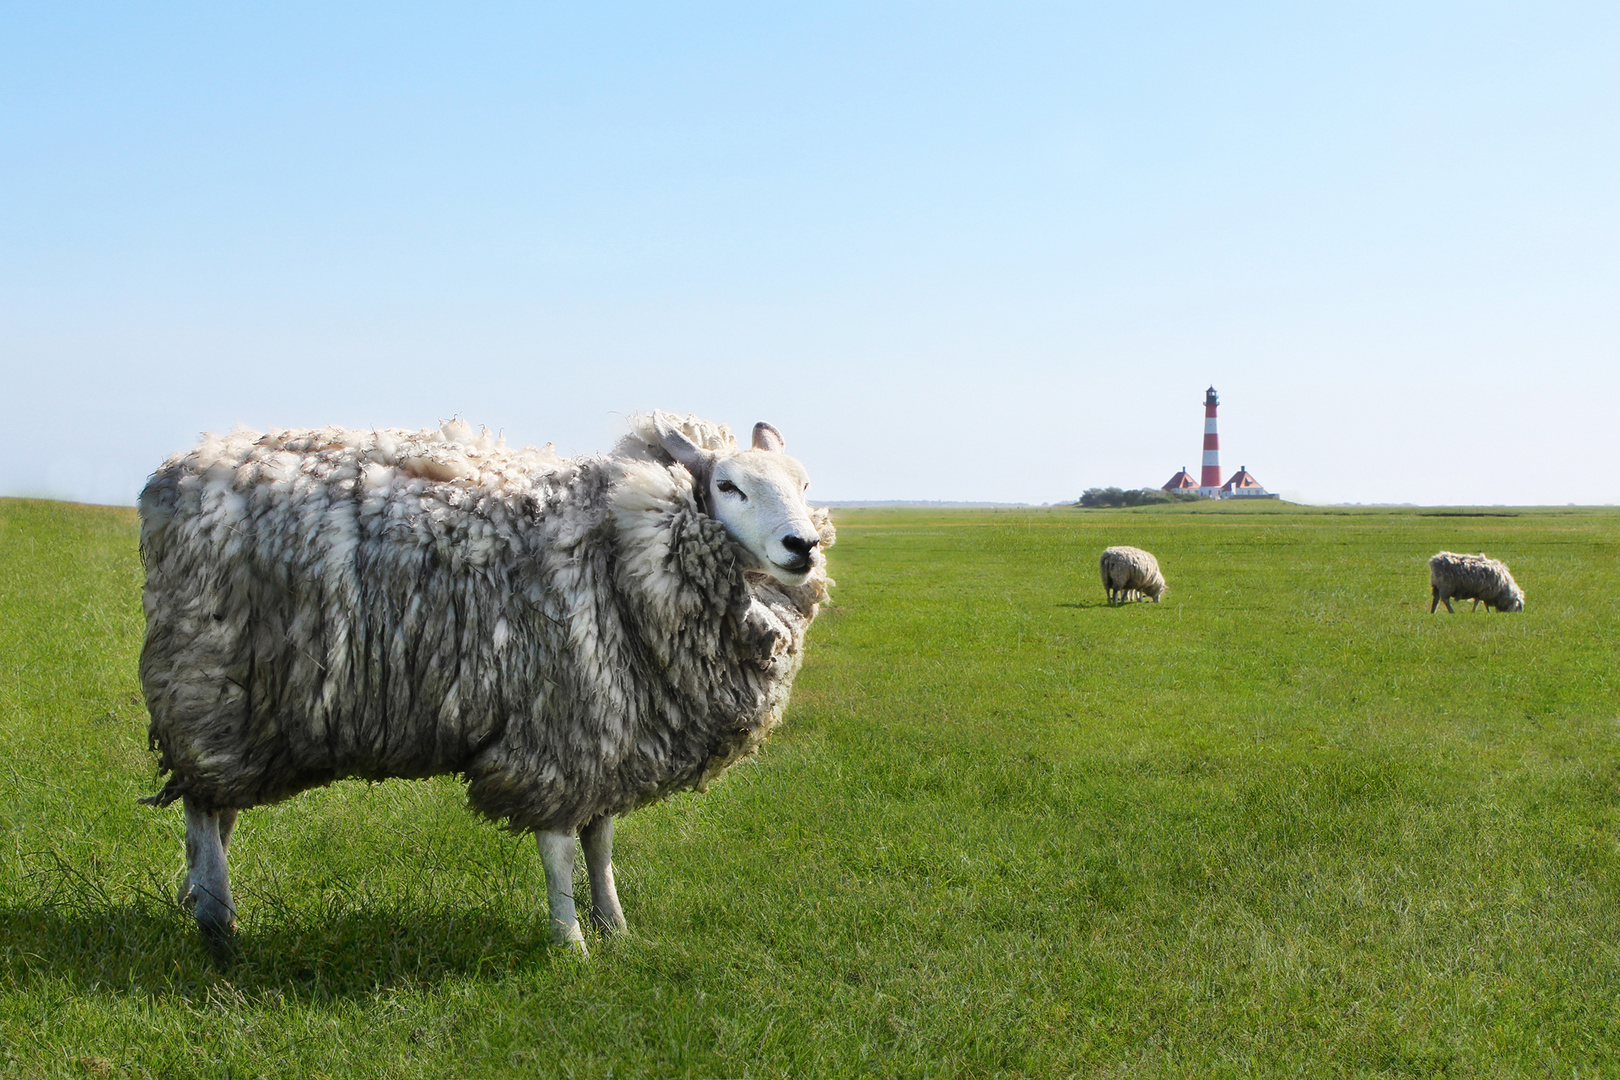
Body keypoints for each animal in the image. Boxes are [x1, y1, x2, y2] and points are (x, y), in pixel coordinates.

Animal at [139, 409, 835, 952]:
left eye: (804, 482)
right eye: (728, 485)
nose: (803, 546)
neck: (619, 541)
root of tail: (178, 469)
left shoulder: (612, 730)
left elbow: (601, 840)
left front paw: (614, 925)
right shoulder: (561, 723)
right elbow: (560, 847)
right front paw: (570, 942)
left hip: (248, 711)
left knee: (217, 807)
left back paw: (198, 897)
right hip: (209, 687)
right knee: (202, 805)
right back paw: (217, 923)